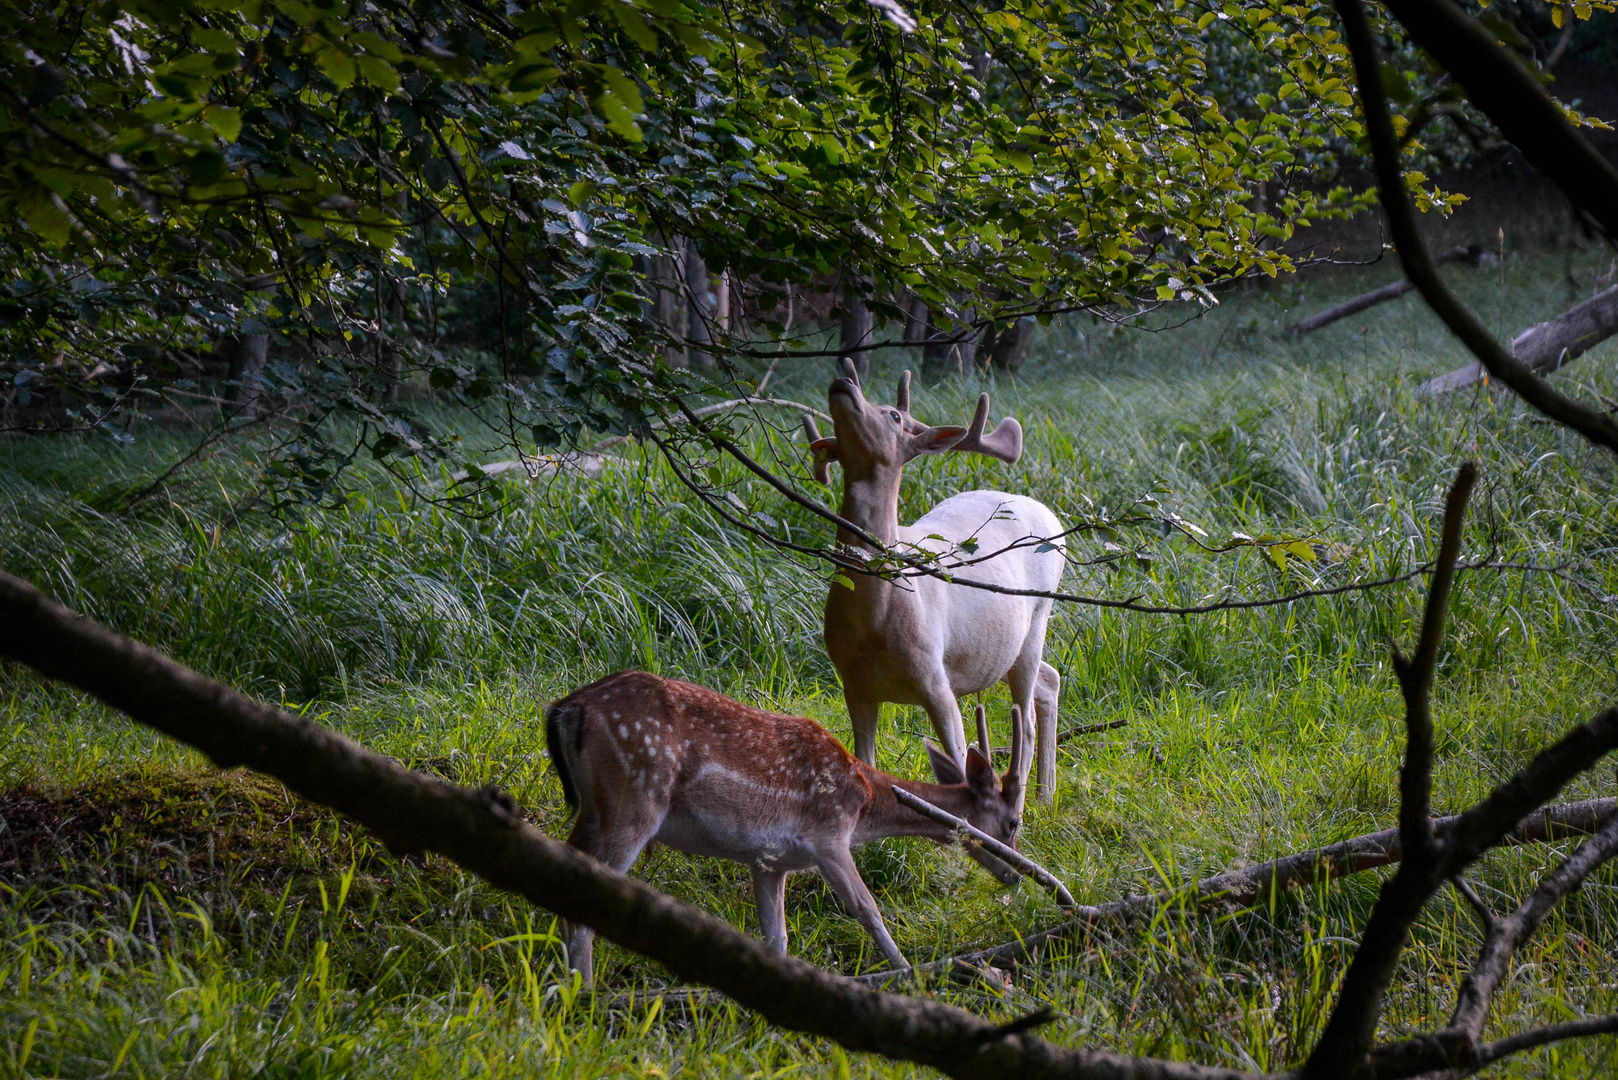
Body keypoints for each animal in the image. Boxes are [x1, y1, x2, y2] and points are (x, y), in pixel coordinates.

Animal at [543, 670, 1022, 984]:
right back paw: (586, 996)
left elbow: (777, 937)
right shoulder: (828, 834)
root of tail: (568, 710)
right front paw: (909, 975)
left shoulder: (769, 860)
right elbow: (866, 908)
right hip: (636, 797)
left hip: (595, 809)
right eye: (1013, 821)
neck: (863, 803)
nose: (1017, 874)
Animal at [805, 362, 1061, 803]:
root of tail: (1054, 518)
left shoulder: (935, 678)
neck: (875, 621)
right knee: (1050, 678)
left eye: (892, 414)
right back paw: (1047, 794)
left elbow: (959, 765)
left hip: (1038, 617)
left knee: (1026, 717)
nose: (844, 382)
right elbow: (865, 762)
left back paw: (1029, 800)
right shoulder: (853, 684)